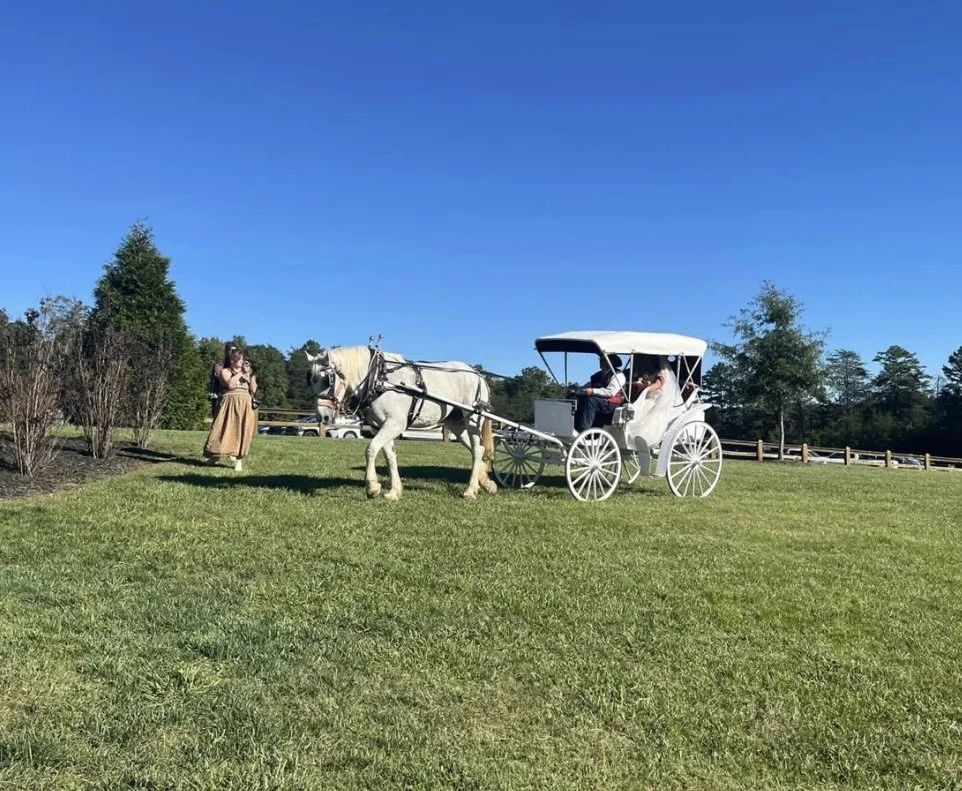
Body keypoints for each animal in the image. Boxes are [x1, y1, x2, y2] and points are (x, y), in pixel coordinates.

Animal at [305, 346, 498, 501]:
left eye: (327, 379)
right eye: (311, 380)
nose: (322, 417)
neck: (379, 379)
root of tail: (478, 375)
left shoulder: (395, 423)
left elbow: (371, 449)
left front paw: (372, 487)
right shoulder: (380, 426)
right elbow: (390, 457)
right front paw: (394, 491)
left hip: (473, 419)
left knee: (477, 450)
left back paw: (470, 490)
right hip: (457, 423)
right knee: (478, 449)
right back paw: (486, 484)